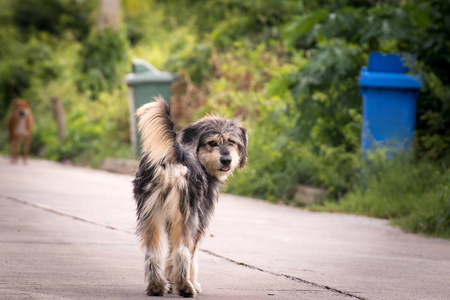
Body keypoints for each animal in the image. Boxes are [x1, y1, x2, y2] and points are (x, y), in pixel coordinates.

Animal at [132, 97, 248, 296]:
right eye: (212, 143)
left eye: (232, 141)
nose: (227, 160)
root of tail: (175, 155)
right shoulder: (199, 221)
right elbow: (191, 255)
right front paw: (189, 282)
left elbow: (169, 254)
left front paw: (171, 281)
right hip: (187, 214)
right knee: (183, 251)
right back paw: (186, 287)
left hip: (151, 213)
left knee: (153, 252)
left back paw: (157, 286)